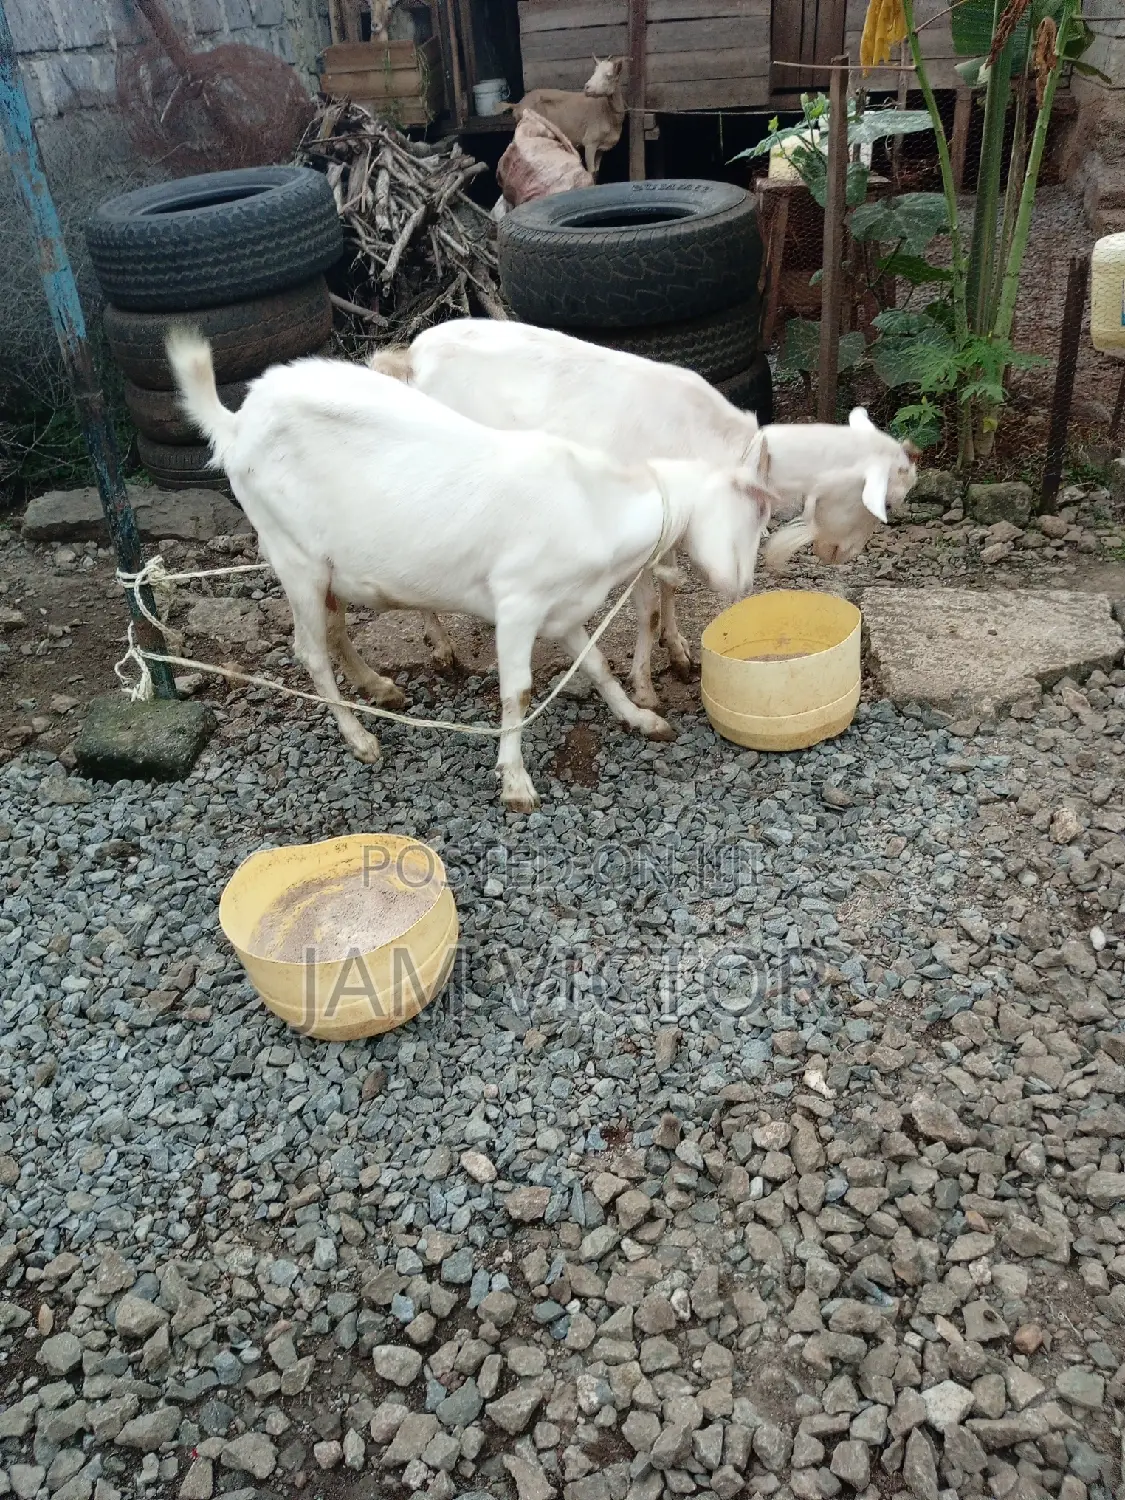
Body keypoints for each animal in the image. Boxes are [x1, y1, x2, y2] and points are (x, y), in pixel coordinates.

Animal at [166, 331, 772, 813]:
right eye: (755, 507)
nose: (744, 584)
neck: (594, 503)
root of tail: (237, 421)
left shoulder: (562, 609)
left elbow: (598, 664)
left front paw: (641, 719)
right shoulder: (518, 604)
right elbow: (517, 693)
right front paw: (516, 783)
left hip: (329, 567)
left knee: (334, 629)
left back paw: (380, 687)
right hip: (294, 558)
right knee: (309, 651)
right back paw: (360, 738)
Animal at [370, 318, 918, 708]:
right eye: (888, 504)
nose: (836, 554)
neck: (720, 441)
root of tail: (410, 358)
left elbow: (671, 591)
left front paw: (679, 655)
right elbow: (649, 608)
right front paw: (645, 688)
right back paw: (441, 648)